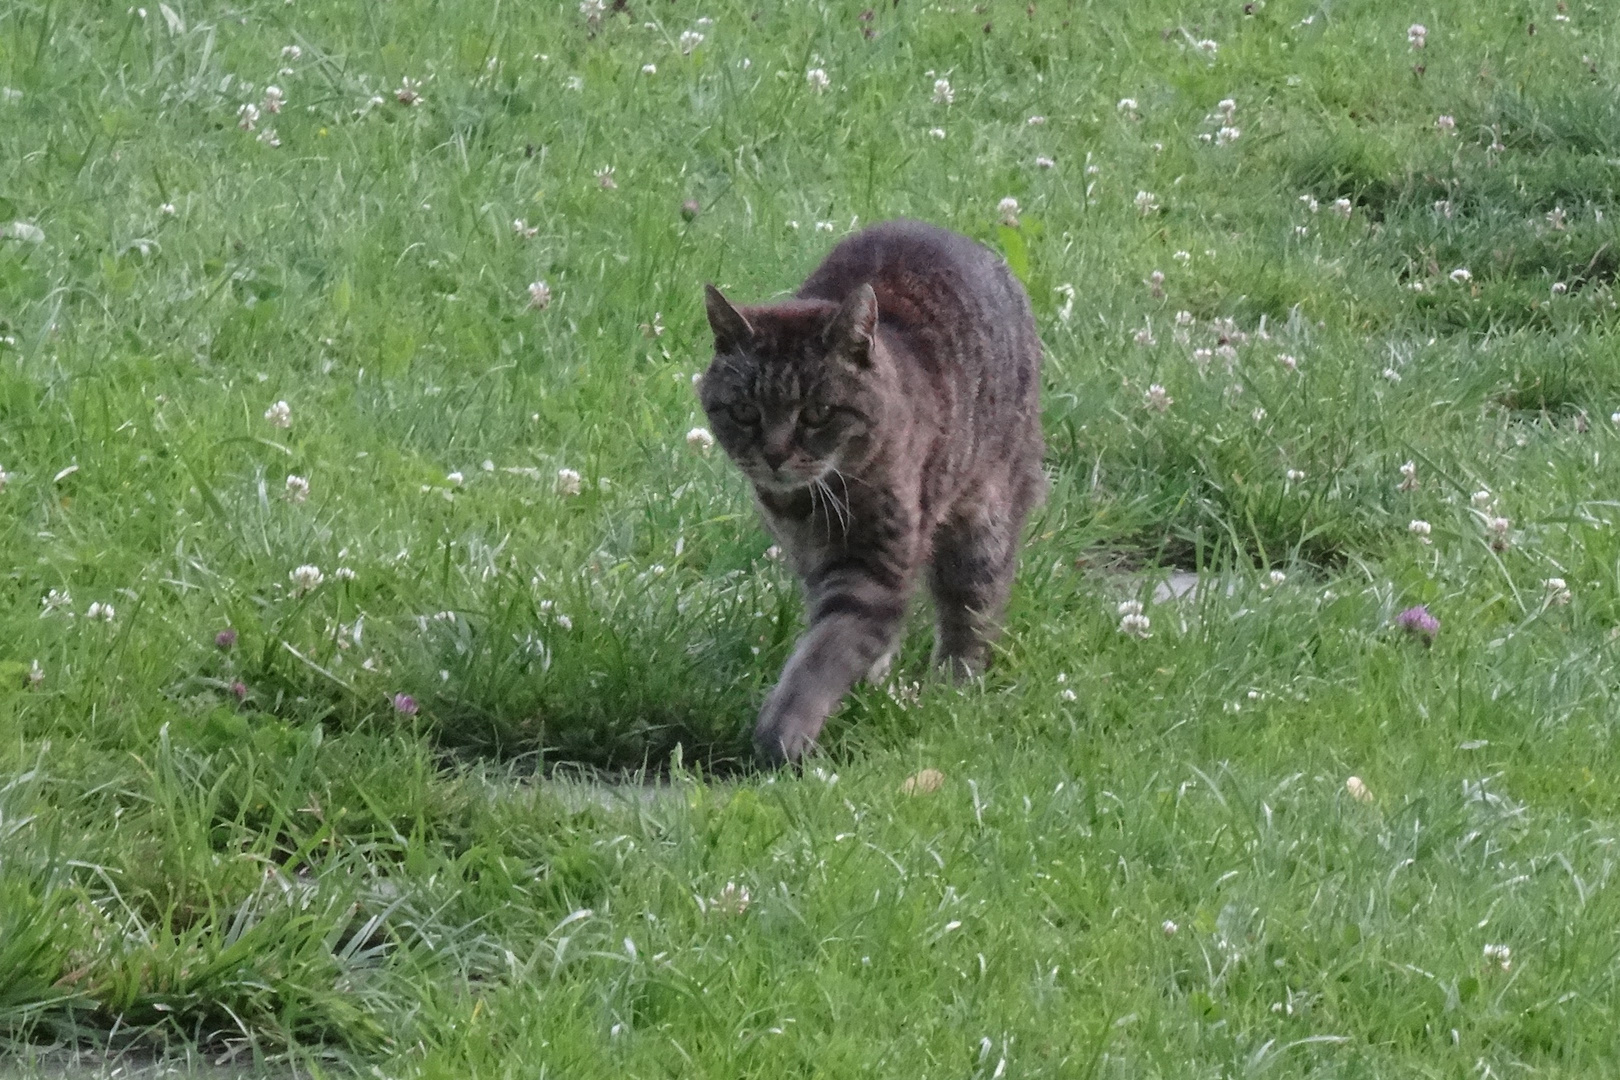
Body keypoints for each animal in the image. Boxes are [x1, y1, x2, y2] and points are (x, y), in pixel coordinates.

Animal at [703, 220, 1043, 764]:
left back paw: (954, 686)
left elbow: (825, 653)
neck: (807, 503)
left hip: (983, 524)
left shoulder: (874, 568)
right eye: (744, 412)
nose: (774, 454)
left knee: (974, 612)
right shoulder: (813, 560)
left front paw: (784, 732)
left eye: (817, 413)